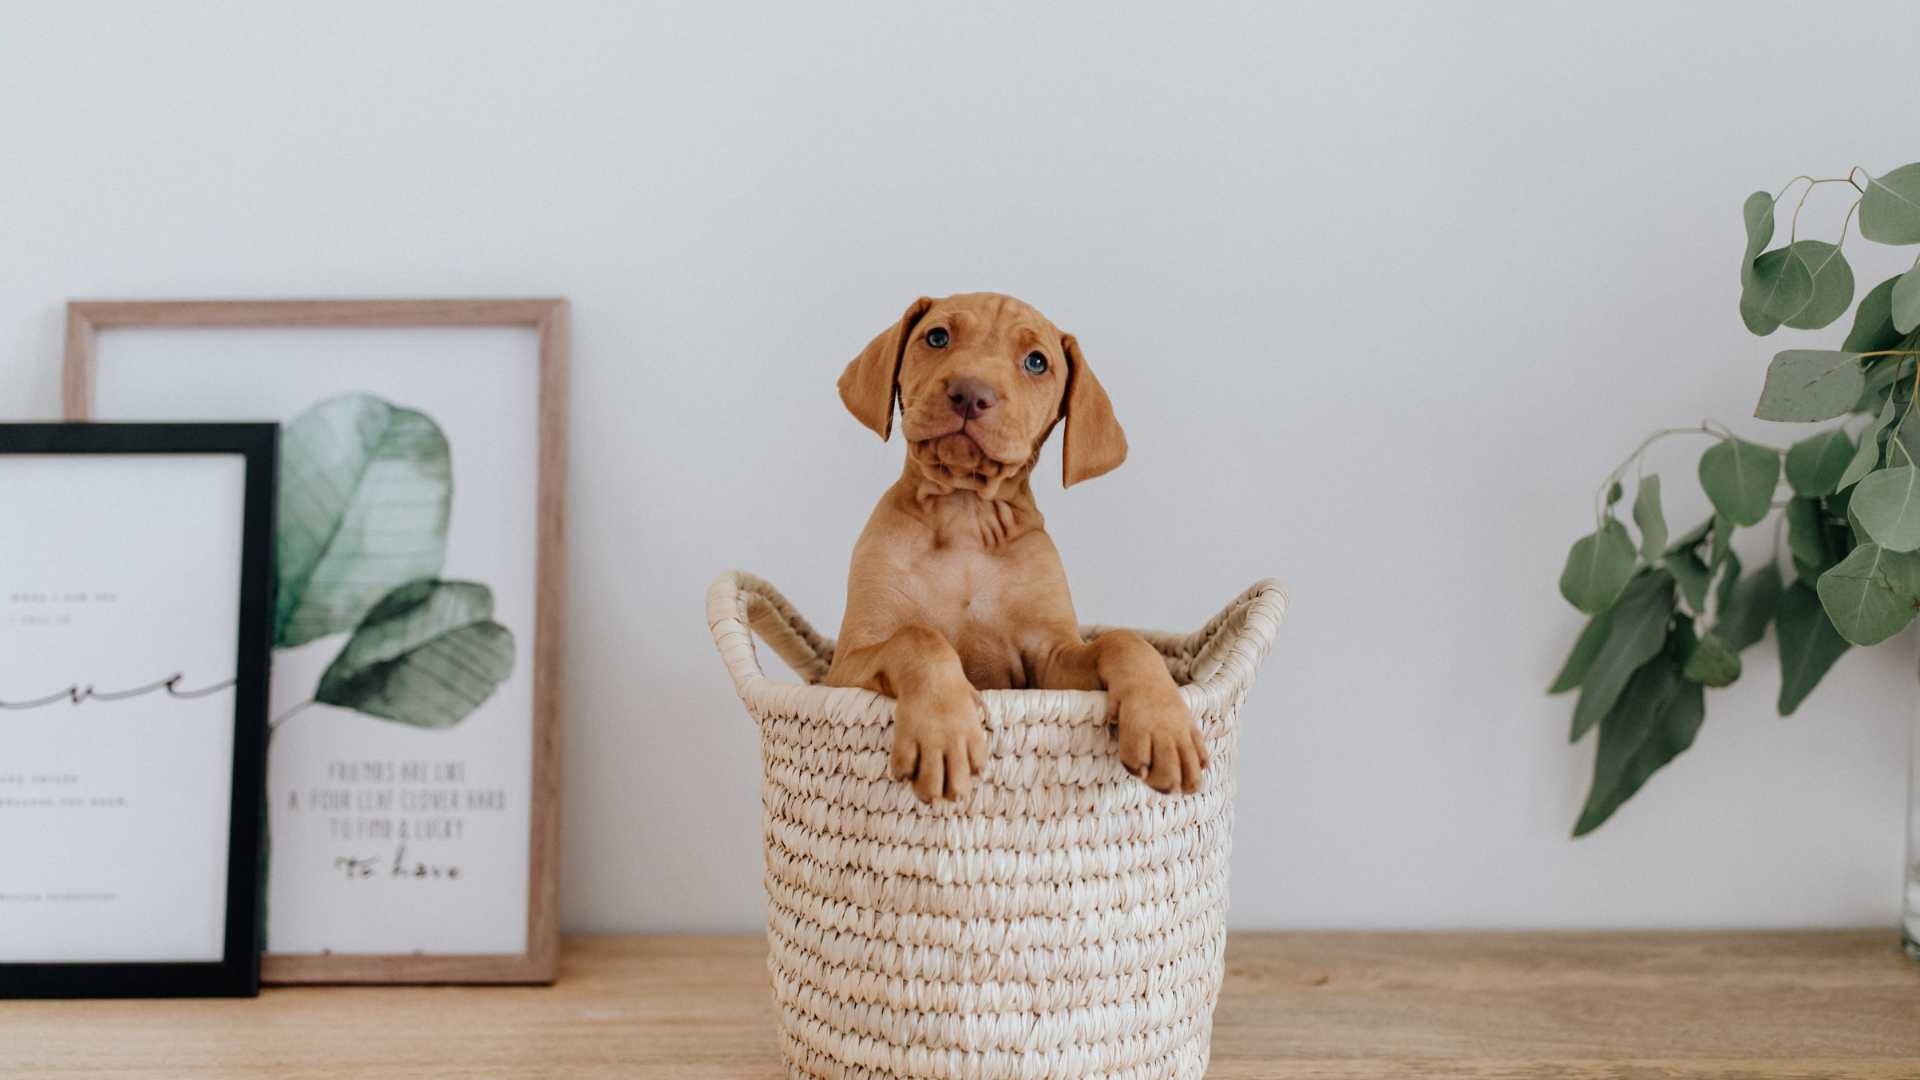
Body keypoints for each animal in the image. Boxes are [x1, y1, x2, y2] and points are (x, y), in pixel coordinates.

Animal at [821, 294, 1198, 799]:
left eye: (1036, 362)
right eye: (937, 337)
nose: (970, 392)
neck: (964, 513)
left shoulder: (1052, 661)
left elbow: (1125, 642)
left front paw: (1164, 725)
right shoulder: (845, 665)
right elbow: (917, 637)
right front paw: (943, 733)